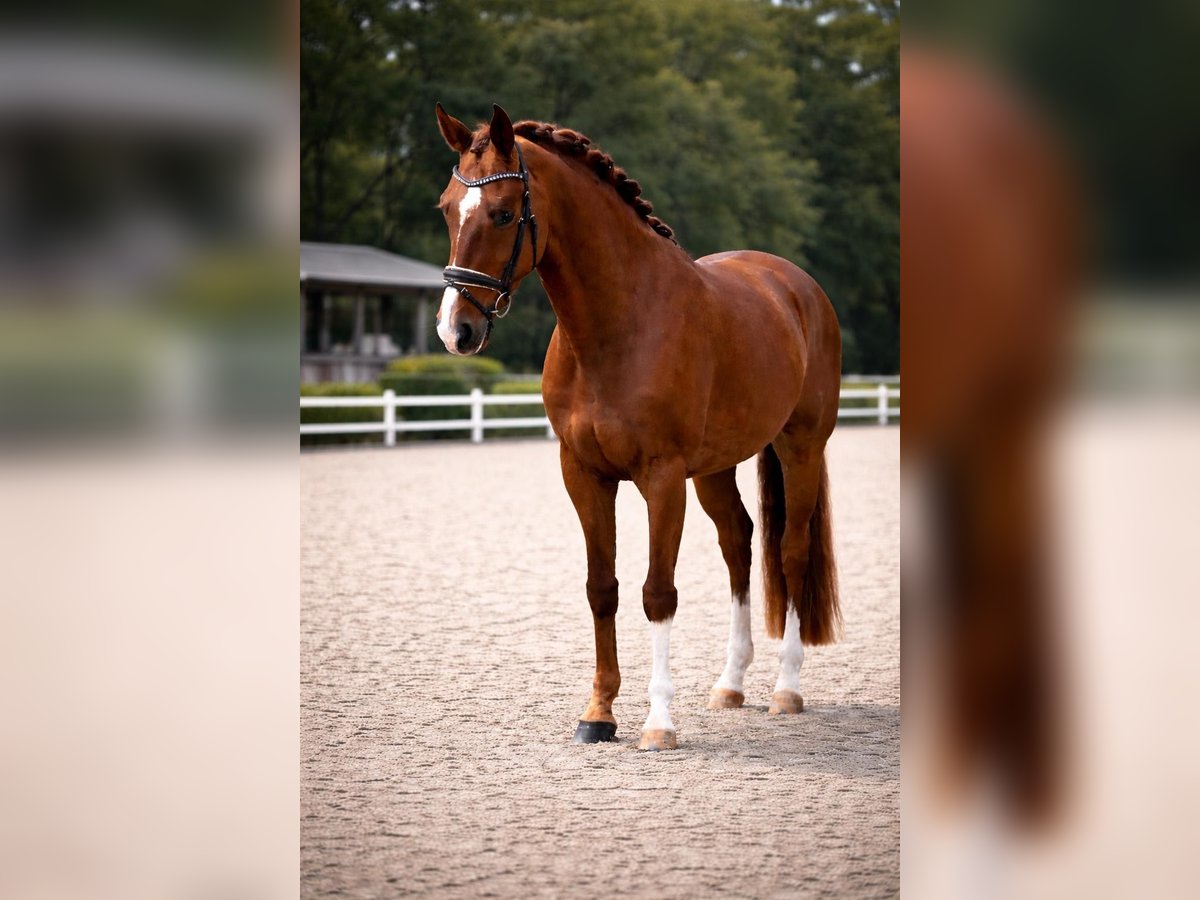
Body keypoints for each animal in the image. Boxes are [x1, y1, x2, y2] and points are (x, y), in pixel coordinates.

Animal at [433, 103, 842, 751]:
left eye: (502, 213)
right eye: (448, 208)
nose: (456, 331)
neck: (619, 324)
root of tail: (797, 287)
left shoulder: (662, 478)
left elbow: (658, 592)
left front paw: (659, 722)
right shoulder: (583, 475)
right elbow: (603, 588)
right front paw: (598, 714)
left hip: (799, 448)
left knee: (791, 551)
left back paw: (786, 689)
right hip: (716, 467)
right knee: (739, 542)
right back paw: (731, 683)